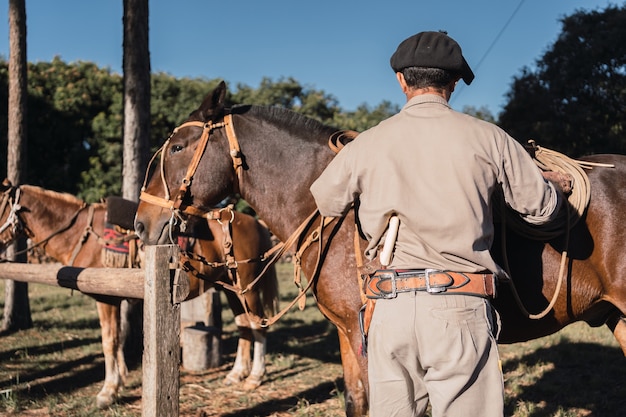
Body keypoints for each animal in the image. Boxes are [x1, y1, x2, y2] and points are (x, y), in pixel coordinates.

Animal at [0, 181, 278, 406]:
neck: (82, 233)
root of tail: (256, 223)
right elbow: (117, 340)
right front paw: (118, 381)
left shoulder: (106, 298)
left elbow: (109, 342)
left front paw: (108, 391)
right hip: (230, 289)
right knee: (243, 325)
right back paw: (236, 373)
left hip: (249, 288)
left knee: (258, 326)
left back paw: (254, 377)